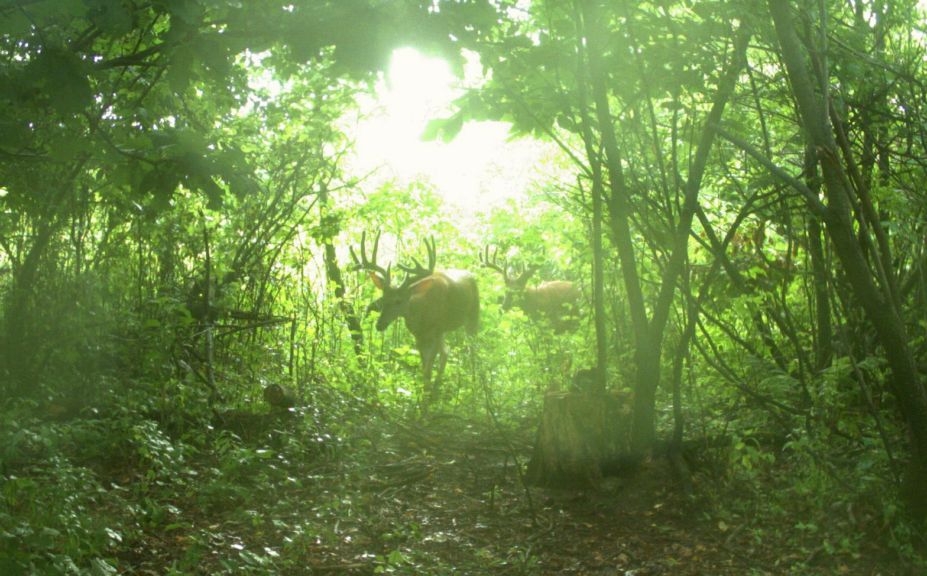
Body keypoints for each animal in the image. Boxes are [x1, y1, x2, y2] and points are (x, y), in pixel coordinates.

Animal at [348, 232, 478, 402]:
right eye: (383, 297)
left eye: (399, 300)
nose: (379, 324)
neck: (422, 315)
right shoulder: (419, 336)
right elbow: (424, 367)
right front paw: (424, 395)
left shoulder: (435, 332)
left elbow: (428, 368)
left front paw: (425, 402)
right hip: (443, 331)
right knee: (447, 351)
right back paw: (437, 388)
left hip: (472, 316)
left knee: (472, 350)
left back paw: (473, 387)